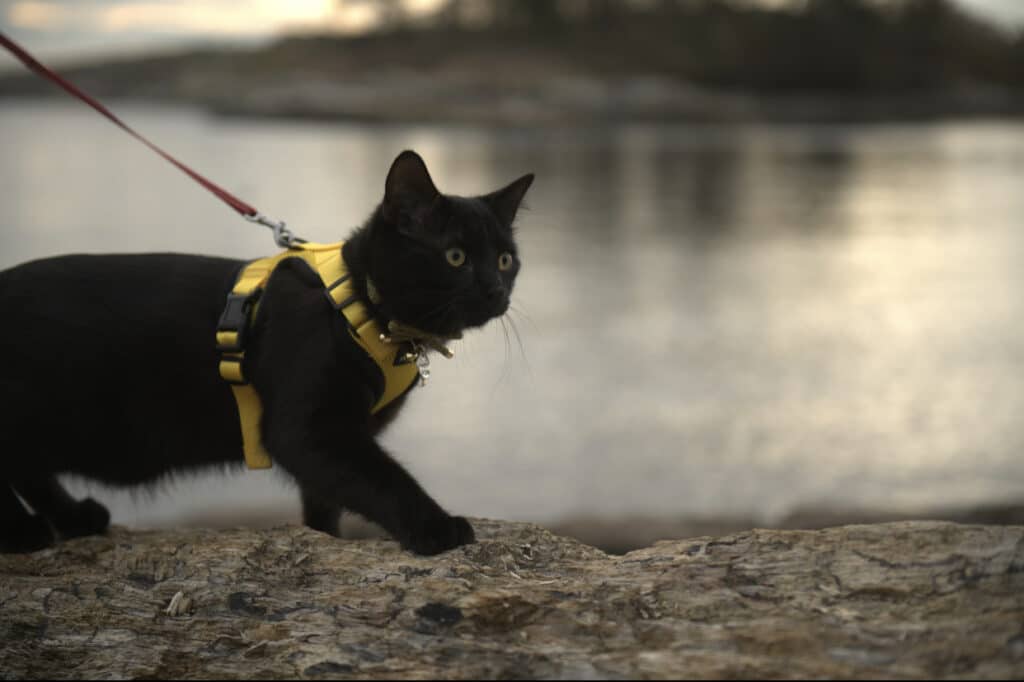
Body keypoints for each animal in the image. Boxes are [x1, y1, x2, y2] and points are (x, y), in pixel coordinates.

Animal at [2, 148, 536, 552]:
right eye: (456, 257)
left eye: (505, 260)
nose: (496, 291)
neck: (360, 311)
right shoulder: (308, 431)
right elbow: (382, 479)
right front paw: (436, 528)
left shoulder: (333, 443)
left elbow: (327, 499)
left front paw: (325, 538)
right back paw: (23, 534)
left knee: (28, 468)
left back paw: (73, 519)